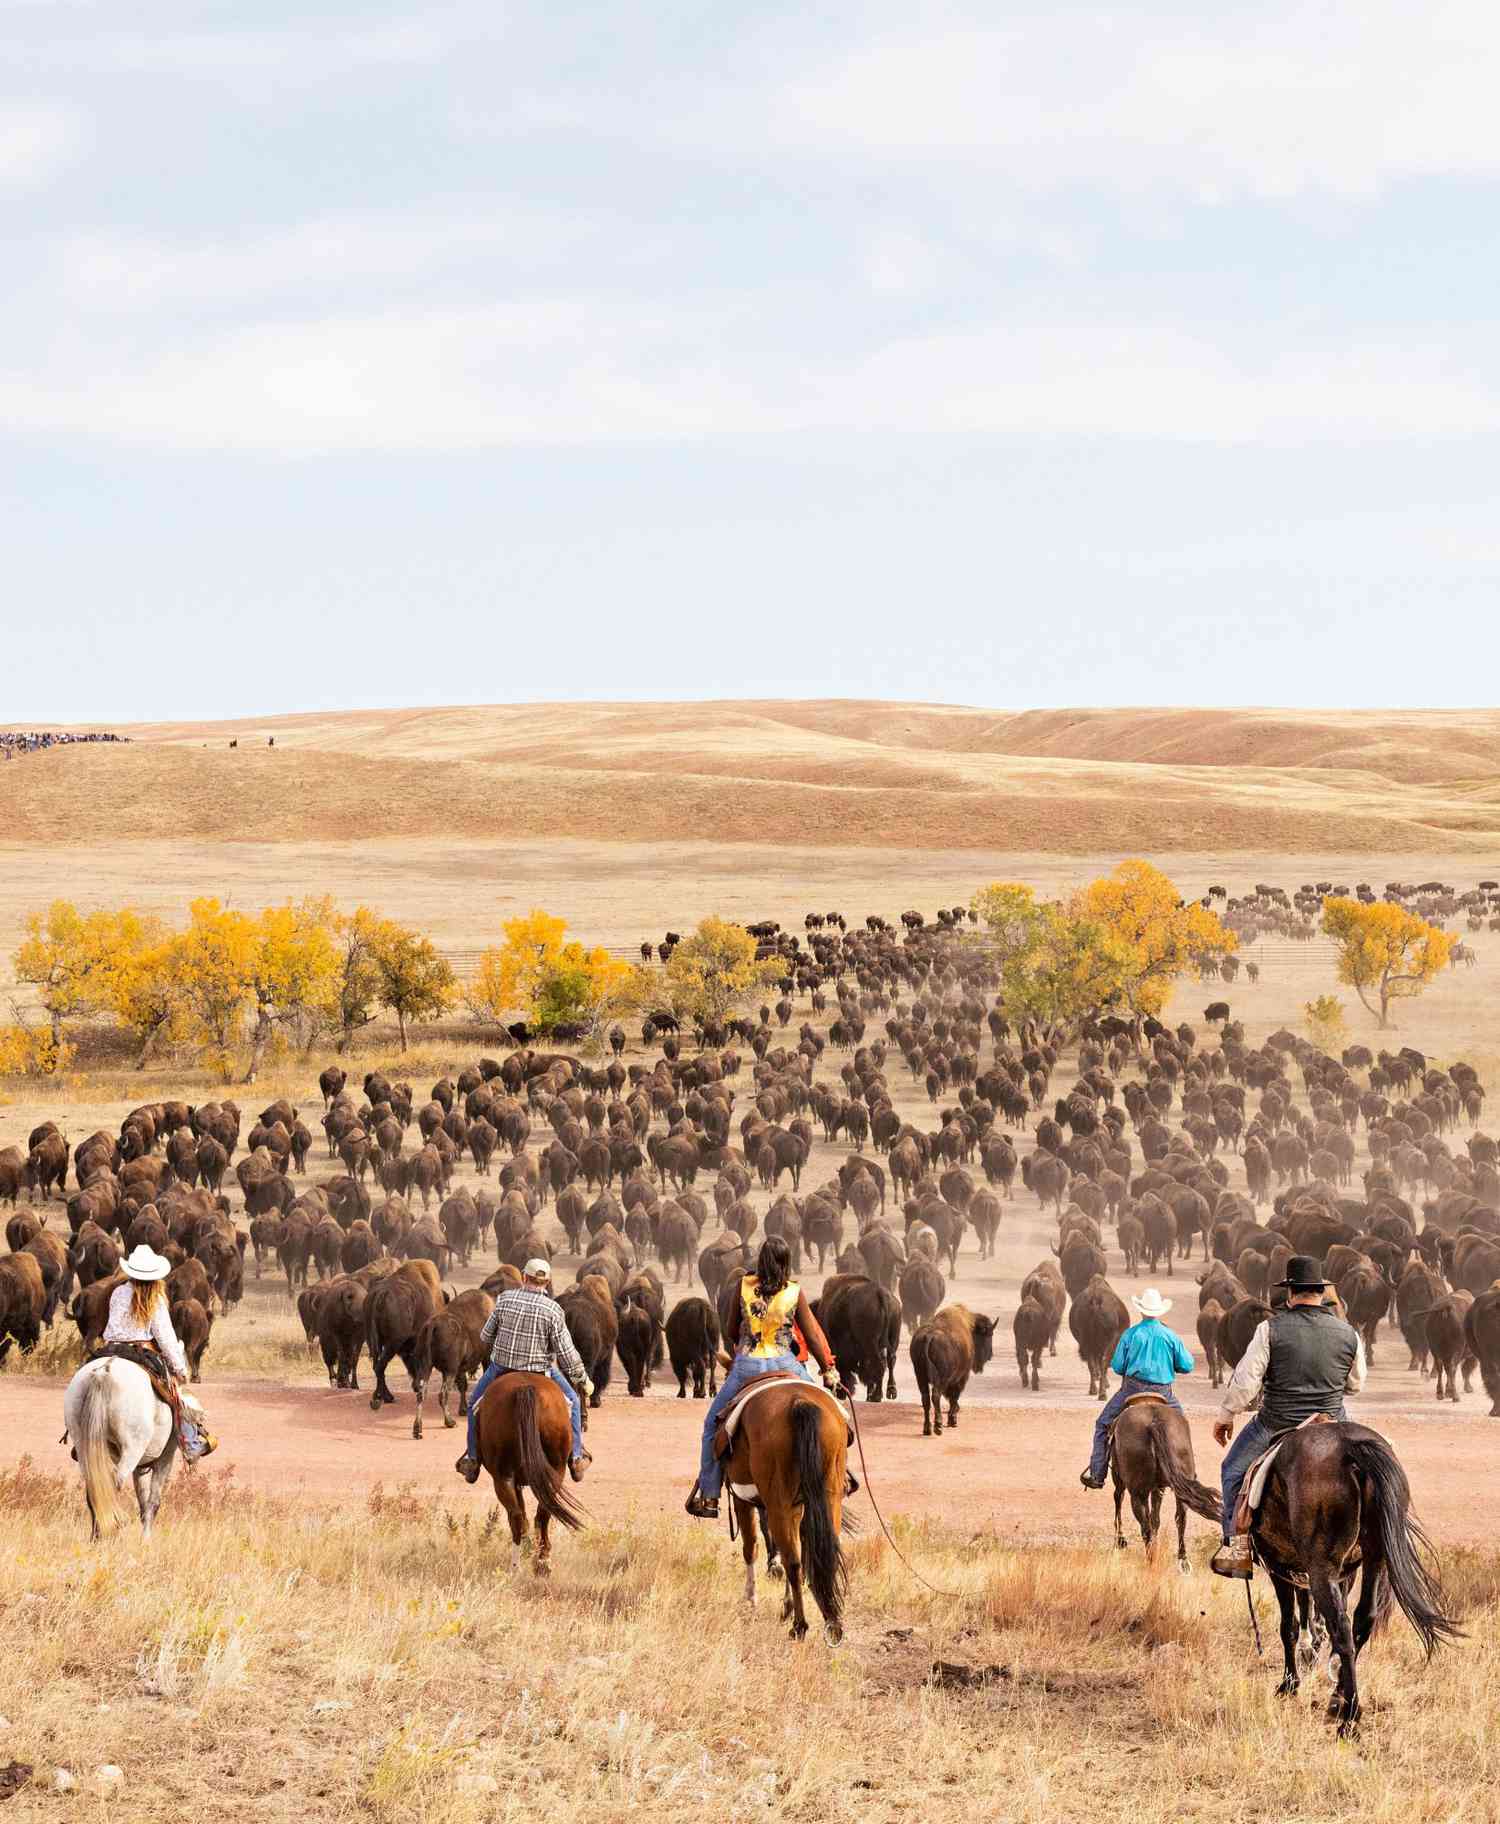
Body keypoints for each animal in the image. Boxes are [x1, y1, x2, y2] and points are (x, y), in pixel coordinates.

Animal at [62, 1357, 178, 1539]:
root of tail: (104, 1372)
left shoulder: (140, 1466)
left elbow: (143, 1501)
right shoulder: (166, 1457)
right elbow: (153, 1502)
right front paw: (146, 1539)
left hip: (84, 1446)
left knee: (95, 1489)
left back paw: (97, 1535)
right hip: (131, 1451)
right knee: (113, 1485)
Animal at [474, 1371, 587, 1575]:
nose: (584, 1419)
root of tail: (525, 1389)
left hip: (503, 1477)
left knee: (518, 1516)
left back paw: (519, 1564)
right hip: (555, 1471)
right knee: (540, 1512)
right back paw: (541, 1562)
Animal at [729, 1378, 850, 1641]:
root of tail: (799, 1402)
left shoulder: (742, 1498)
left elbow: (750, 1546)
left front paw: (750, 1601)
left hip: (780, 1504)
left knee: (792, 1560)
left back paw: (800, 1626)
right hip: (827, 1497)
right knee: (820, 1551)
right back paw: (832, 1622)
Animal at [1109, 1393, 1226, 1568]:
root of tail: (1154, 1422)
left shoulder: (1121, 1480)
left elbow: (1119, 1499)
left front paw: (1120, 1540)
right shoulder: (1159, 1488)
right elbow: (1156, 1519)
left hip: (1137, 1493)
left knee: (1144, 1524)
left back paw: (1151, 1561)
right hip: (1179, 1486)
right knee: (1180, 1517)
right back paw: (1182, 1561)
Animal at [1248, 1415, 1459, 1729]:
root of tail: (1350, 1446)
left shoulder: (1279, 1567)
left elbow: (1289, 1626)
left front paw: (1289, 1685)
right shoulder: (1342, 1574)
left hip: (1321, 1568)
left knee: (1341, 1628)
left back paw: (1349, 1718)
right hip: (1374, 1558)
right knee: (1362, 1620)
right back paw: (1339, 1700)